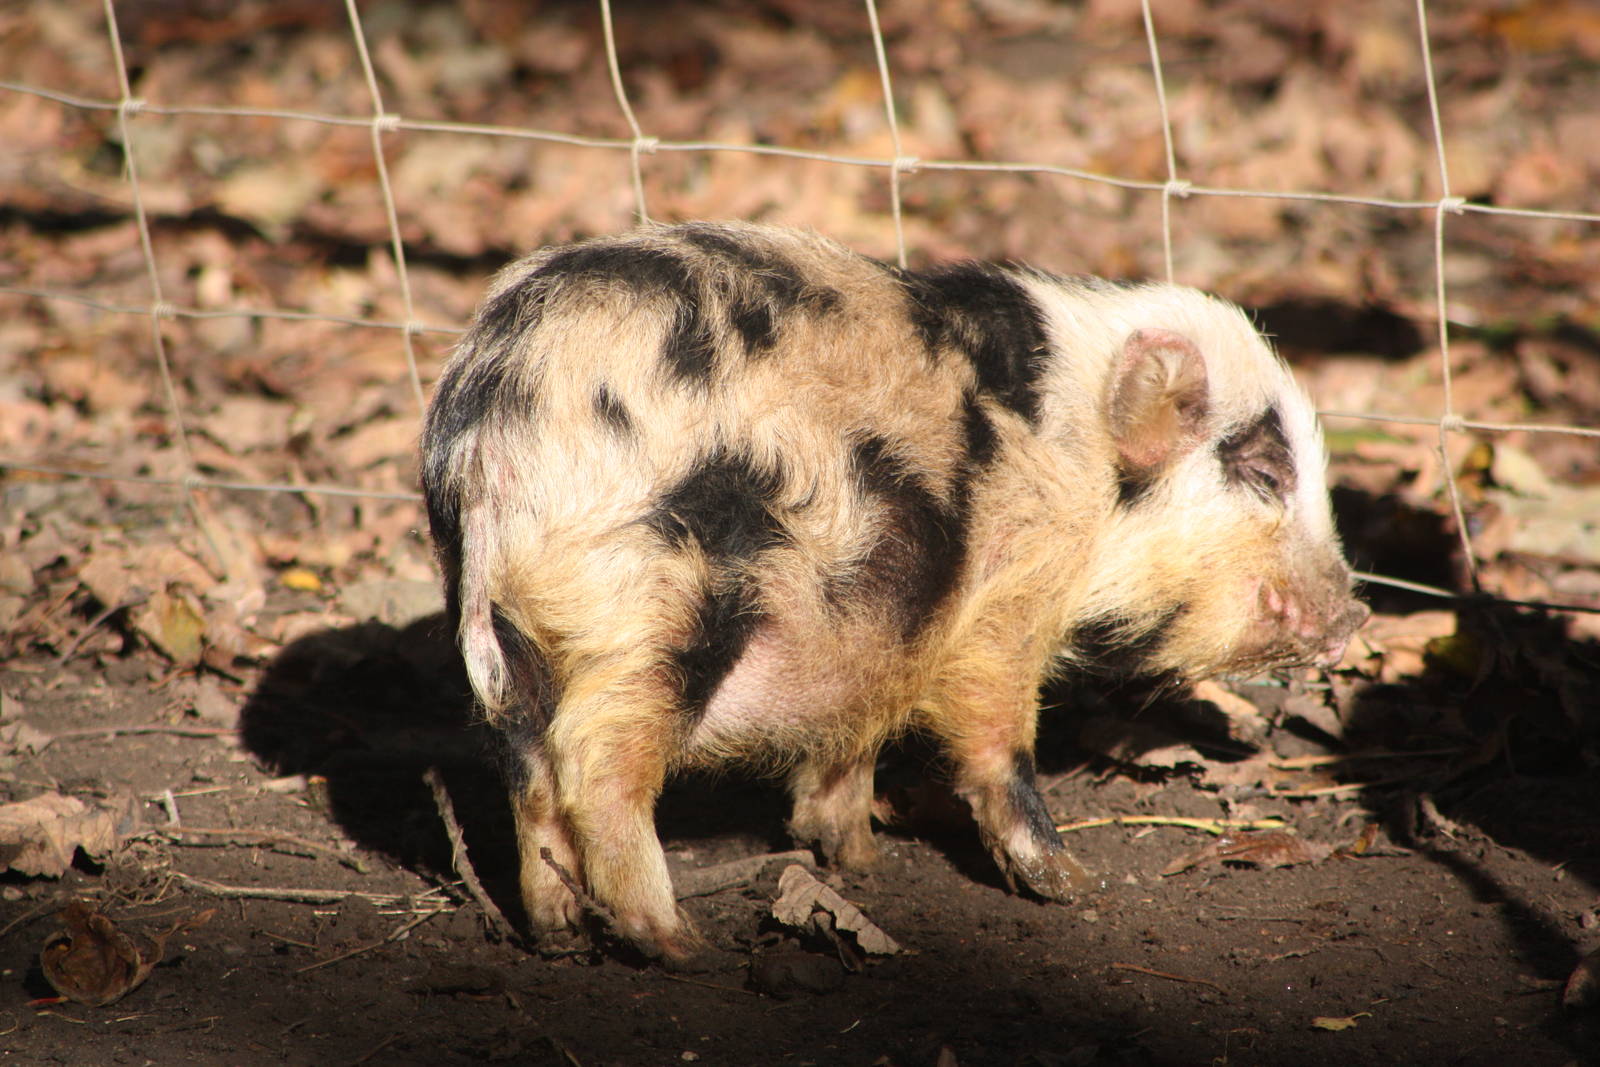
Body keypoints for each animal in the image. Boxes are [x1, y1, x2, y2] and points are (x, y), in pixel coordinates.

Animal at [420, 221, 1367, 962]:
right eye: (1264, 469)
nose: (1355, 611)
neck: (1082, 470)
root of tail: (498, 430)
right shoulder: (1007, 593)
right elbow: (996, 736)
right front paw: (1073, 886)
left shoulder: (883, 631)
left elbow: (853, 741)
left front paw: (854, 858)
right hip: (658, 607)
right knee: (594, 760)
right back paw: (681, 944)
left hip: (514, 641)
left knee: (529, 771)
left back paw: (559, 933)